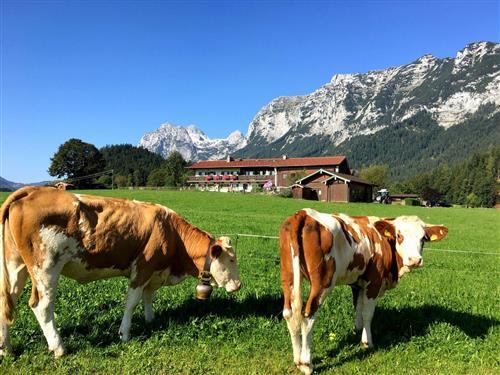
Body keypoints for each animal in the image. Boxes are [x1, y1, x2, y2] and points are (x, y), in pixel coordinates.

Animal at [0, 188, 242, 358]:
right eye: (231, 259)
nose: (239, 285)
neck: (172, 233)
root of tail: (32, 190)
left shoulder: (155, 271)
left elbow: (148, 297)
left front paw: (150, 321)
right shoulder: (142, 268)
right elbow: (132, 302)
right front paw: (124, 334)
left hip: (16, 266)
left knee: (7, 301)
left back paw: (6, 349)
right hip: (46, 268)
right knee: (41, 306)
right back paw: (59, 348)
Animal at [280, 210, 448, 374]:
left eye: (423, 238)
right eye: (400, 236)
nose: (415, 260)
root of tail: (304, 213)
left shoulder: (358, 284)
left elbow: (358, 307)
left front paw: (358, 330)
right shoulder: (373, 283)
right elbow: (368, 313)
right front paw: (367, 342)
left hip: (288, 277)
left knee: (289, 313)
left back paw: (297, 359)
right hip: (323, 283)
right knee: (308, 315)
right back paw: (306, 364)